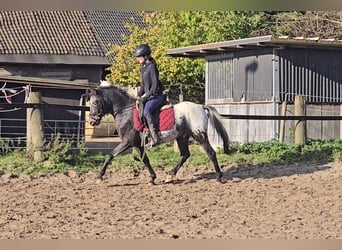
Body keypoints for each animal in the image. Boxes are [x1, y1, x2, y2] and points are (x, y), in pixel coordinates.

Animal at [87, 85, 228, 185]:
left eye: (95, 103)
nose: (92, 121)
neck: (125, 112)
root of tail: (200, 106)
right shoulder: (137, 144)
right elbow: (145, 160)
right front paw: (152, 178)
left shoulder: (127, 142)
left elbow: (110, 155)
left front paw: (99, 176)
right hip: (182, 137)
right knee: (185, 155)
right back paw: (170, 175)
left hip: (199, 135)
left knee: (211, 153)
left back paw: (219, 177)